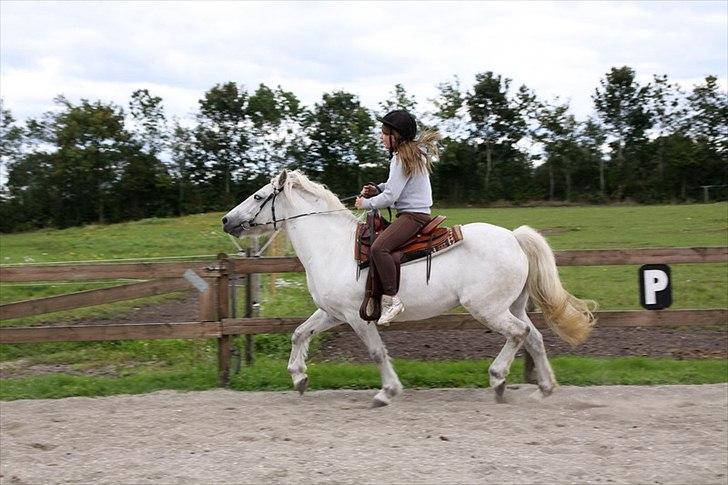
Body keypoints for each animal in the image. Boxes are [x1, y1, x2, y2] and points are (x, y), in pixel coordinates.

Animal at [222, 169, 596, 406]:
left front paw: (387, 392)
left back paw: (498, 378)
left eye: (258, 195)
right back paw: (544, 388)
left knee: (519, 334)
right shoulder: (332, 313)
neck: (333, 247)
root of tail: (514, 237)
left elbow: (376, 352)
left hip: (488, 308)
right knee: (534, 337)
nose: (226, 220)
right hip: (512, 305)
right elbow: (299, 333)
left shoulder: (356, 317)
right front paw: (299, 378)